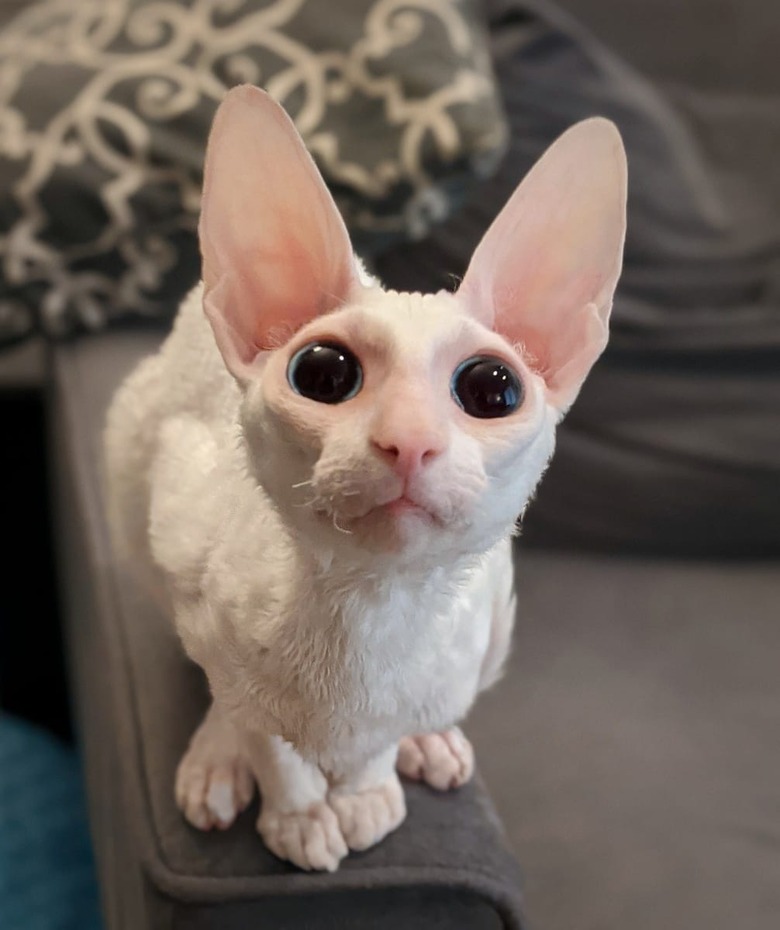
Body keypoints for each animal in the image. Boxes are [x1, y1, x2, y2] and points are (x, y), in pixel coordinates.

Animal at [103, 87, 628, 872]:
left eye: (493, 389)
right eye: (323, 374)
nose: (408, 440)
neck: (369, 610)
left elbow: (384, 732)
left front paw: (365, 793)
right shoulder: (191, 552)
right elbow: (259, 728)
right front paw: (297, 812)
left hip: (496, 621)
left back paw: (430, 741)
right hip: (136, 474)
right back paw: (217, 757)